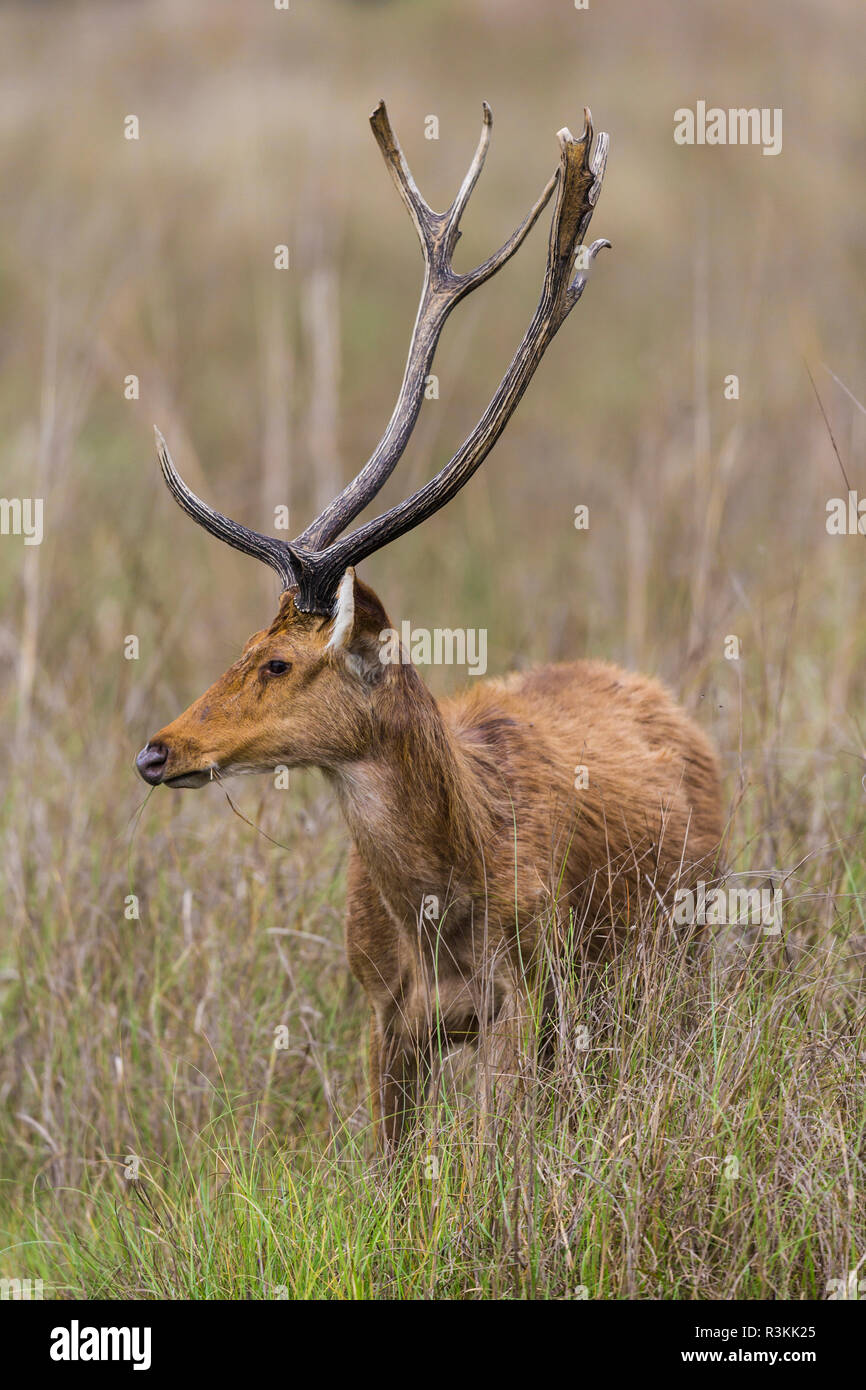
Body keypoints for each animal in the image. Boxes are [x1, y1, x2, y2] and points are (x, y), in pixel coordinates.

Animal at [136, 102, 722, 1145]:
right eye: (244, 646)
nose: (156, 751)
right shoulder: (383, 1013)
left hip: (680, 951)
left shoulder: (525, 998)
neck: (444, 899)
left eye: (278, 662)